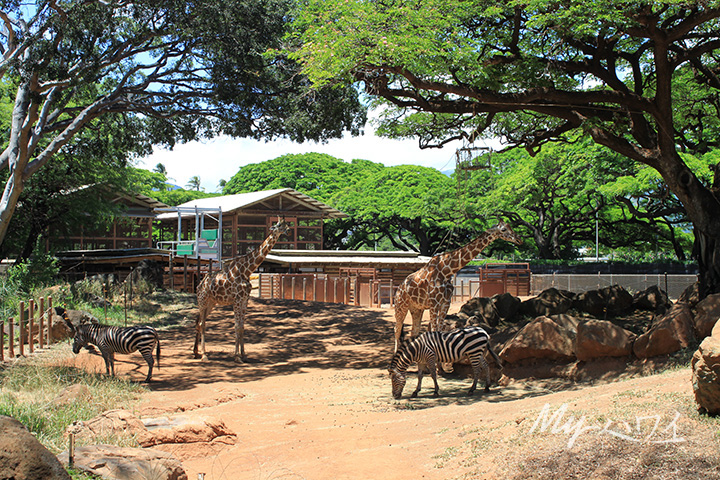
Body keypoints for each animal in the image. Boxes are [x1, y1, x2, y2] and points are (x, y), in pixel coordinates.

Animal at [194, 218, 292, 360]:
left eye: (287, 224)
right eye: (279, 225)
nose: (289, 231)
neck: (246, 271)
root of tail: (200, 284)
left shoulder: (245, 299)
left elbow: (242, 326)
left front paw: (243, 354)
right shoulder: (237, 299)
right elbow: (236, 326)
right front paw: (237, 356)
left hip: (211, 303)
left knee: (199, 322)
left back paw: (195, 352)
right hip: (203, 301)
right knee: (202, 324)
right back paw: (204, 354)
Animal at [394, 219, 524, 350]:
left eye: (510, 227)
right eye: (503, 229)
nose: (519, 239)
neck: (447, 271)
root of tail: (398, 289)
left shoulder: (445, 303)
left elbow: (439, 330)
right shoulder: (434, 303)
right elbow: (434, 330)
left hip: (416, 308)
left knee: (414, 330)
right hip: (401, 306)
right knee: (397, 329)